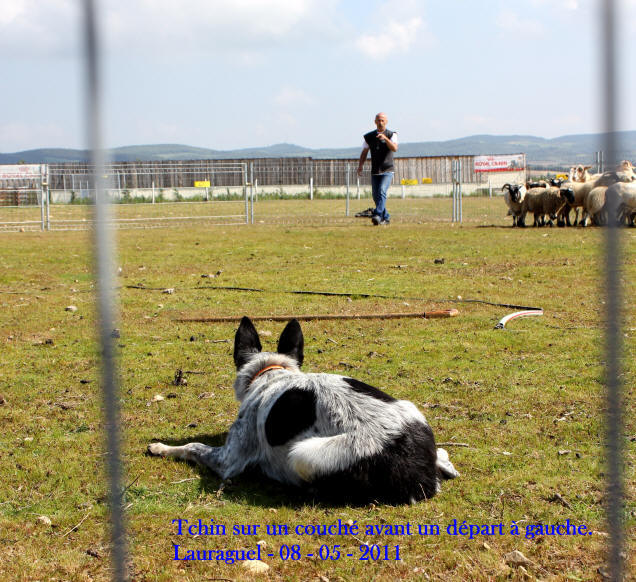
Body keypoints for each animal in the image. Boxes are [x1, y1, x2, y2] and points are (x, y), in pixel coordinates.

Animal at [149, 320, 458, 506]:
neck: (272, 373)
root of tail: (425, 477)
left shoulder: (228, 460)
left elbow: (192, 446)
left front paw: (161, 447)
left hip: (303, 453)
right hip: (412, 409)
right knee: (444, 456)